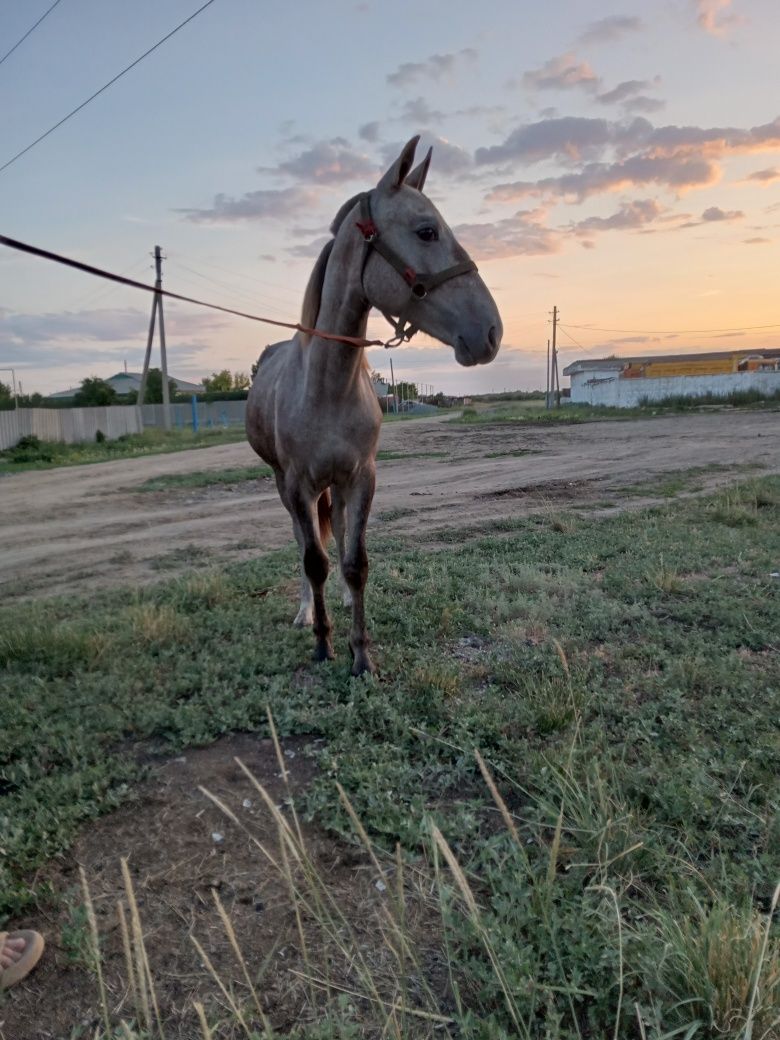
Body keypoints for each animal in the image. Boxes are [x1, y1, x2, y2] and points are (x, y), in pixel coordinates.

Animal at [247, 136, 503, 673]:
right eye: (426, 231)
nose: (491, 331)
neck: (328, 386)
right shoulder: (298, 484)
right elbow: (313, 559)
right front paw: (323, 642)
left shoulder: (363, 475)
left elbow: (355, 560)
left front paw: (361, 651)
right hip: (286, 485)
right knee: (304, 542)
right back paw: (306, 611)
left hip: (338, 485)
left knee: (340, 530)